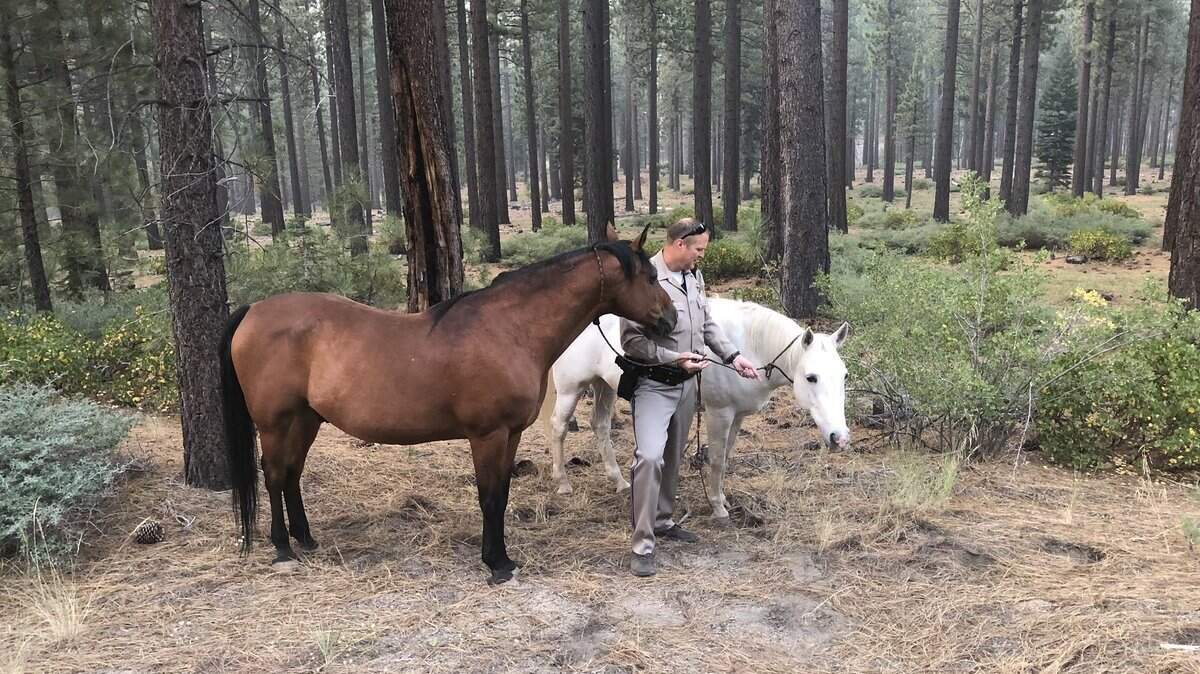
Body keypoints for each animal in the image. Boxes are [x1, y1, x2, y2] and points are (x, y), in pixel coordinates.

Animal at [218, 224, 676, 584]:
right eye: (651, 276)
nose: (670, 319)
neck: (509, 329)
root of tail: (253, 311)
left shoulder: (510, 435)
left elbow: (502, 494)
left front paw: (501, 557)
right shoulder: (488, 435)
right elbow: (489, 497)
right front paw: (497, 565)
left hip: (306, 419)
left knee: (292, 474)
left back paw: (306, 538)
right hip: (275, 423)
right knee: (274, 474)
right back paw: (283, 550)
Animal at [541, 298, 850, 520]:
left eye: (844, 375)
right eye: (811, 377)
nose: (840, 437)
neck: (749, 344)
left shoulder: (736, 416)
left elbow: (725, 457)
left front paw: (721, 498)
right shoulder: (719, 413)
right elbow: (716, 460)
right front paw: (717, 506)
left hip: (603, 386)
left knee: (600, 425)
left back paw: (618, 480)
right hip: (571, 389)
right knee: (558, 428)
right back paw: (562, 482)